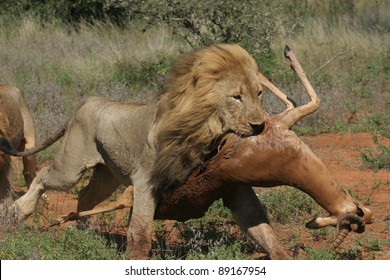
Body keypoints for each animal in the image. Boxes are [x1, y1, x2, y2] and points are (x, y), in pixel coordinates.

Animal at [0, 43, 268, 258]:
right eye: (236, 97)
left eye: (259, 93)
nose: (260, 125)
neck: (203, 132)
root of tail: (88, 101)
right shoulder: (145, 182)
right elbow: (140, 233)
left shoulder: (230, 180)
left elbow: (259, 223)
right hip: (70, 168)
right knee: (41, 175)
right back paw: (18, 211)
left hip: (107, 175)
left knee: (85, 195)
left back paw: (83, 233)